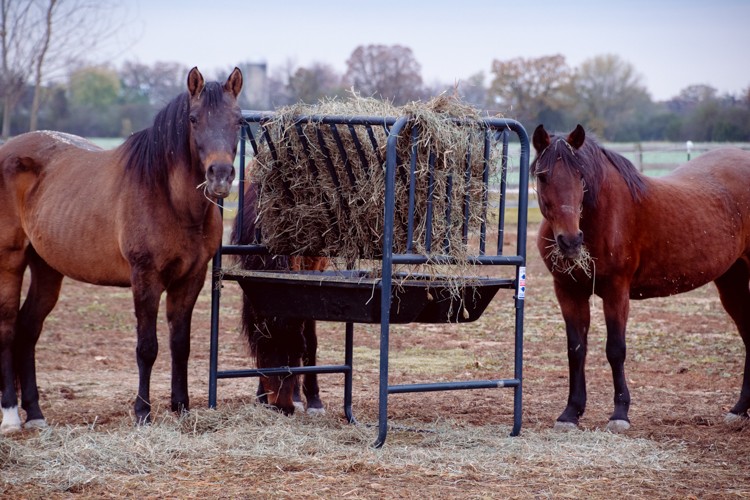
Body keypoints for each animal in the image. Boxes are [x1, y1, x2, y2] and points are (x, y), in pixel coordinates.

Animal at [0, 67, 244, 434]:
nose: (221, 175)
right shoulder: (145, 278)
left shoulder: (191, 279)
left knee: (28, 329)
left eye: (239, 120)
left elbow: (180, 345)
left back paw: (37, 415)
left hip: (46, 267)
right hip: (10, 261)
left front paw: (181, 408)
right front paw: (142, 412)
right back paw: (12, 415)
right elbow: (147, 348)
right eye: (193, 118)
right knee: (8, 328)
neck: (168, 197)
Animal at [231, 180, 328, 414]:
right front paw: (262, 396)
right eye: (262, 350)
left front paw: (314, 400)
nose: (281, 407)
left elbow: (311, 338)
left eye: (298, 350)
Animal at [532, 125, 750, 434]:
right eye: (542, 176)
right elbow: (576, 350)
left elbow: (615, 350)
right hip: (732, 280)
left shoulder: (616, 292)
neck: (602, 214)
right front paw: (570, 413)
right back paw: (739, 410)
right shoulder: (568, 292)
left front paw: (619, 414)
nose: (571, 242)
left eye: (581, 175)